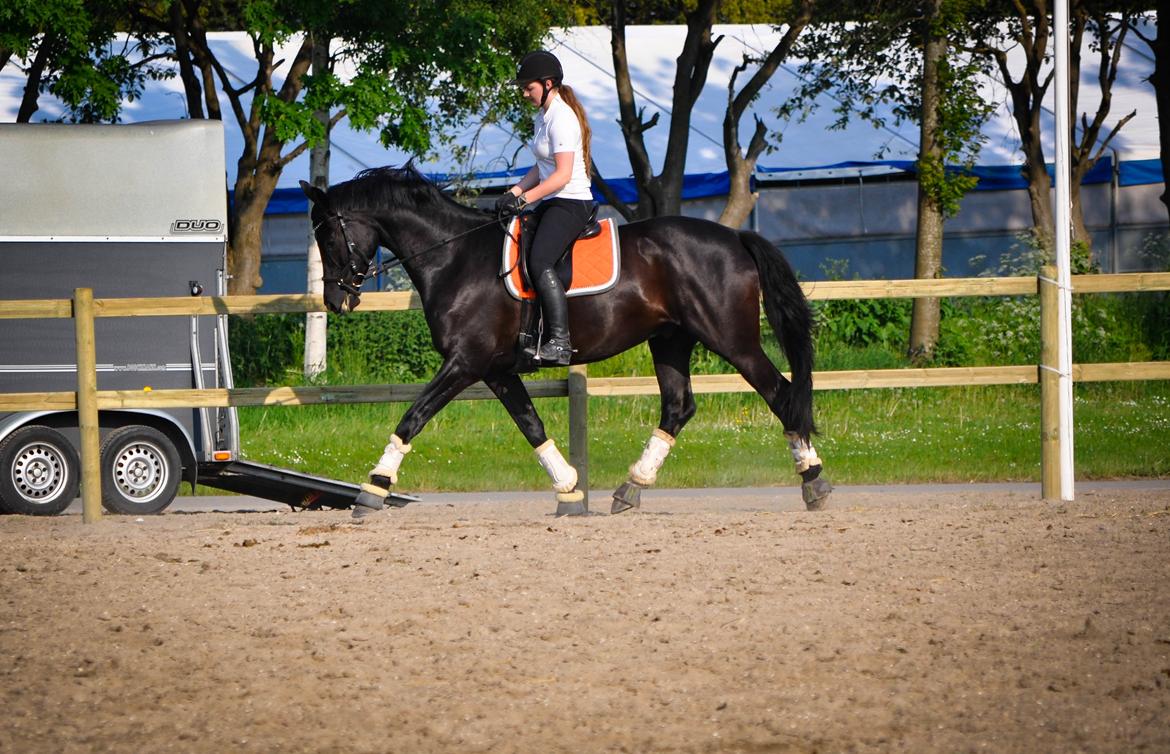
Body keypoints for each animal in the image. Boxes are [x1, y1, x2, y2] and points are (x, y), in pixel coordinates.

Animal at [301, 167, 833, 515]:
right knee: (679, 407)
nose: (336, 299)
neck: (455, 256)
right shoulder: (496, 369)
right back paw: (629, 488)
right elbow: (531, 425)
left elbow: (413, 416)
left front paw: (373, 488)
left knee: (781, 393)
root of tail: (734, 237)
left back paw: (813, 480)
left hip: (730, 338)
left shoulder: (465, 361)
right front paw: (570, 488)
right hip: (670, 340)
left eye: (327, 236)